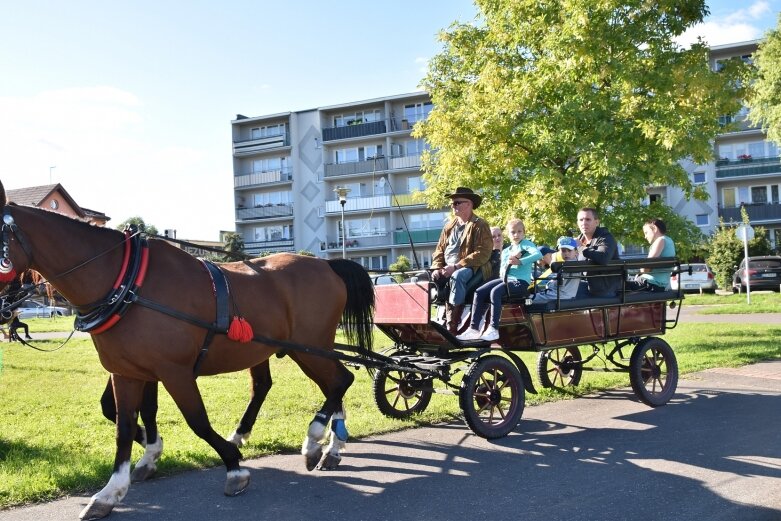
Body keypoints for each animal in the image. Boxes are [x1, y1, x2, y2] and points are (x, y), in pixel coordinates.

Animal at [0, 180, 374, 520]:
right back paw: (330, 446)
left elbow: (197, 421)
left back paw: (314, 441)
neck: (129, 284)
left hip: (311, 348)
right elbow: (124, 425)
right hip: (302, 350)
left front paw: (233, 467)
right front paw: (112, 490)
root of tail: (326, 265)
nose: (8, 310)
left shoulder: (175, 372)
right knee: (317, 386)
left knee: (340, 382)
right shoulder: (127, 372)